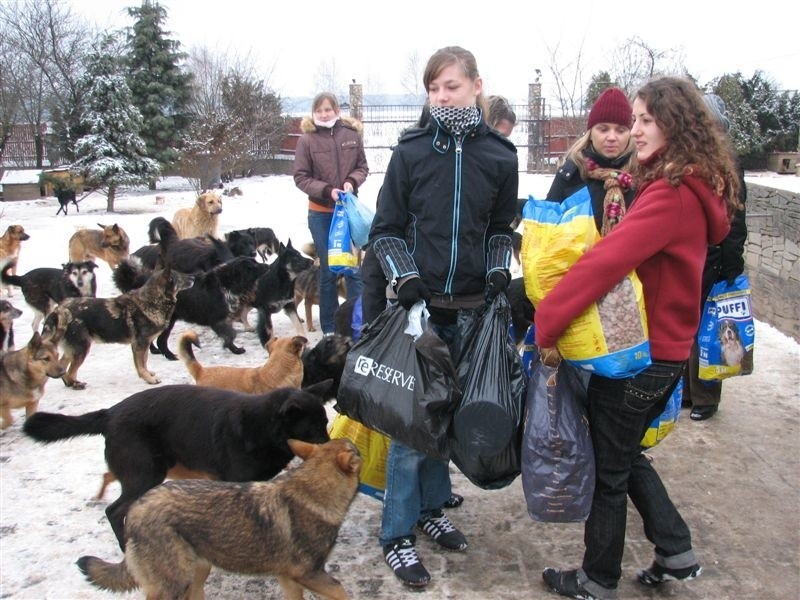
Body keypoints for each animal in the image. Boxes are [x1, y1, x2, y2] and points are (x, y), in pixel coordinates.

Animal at [22, 380, 332, 548]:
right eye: (313, 429)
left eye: (326, 423)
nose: (333, 447)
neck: (263, 427)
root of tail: (110, 413)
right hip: (146, 474)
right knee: (114, 510)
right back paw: (125, 546)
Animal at [41, 268, 194, 390]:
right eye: (179, 276)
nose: (194, 277)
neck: (152, 301)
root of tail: (57, 311)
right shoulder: (140, 344)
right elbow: (140, 365)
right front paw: (149, 379)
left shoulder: (142, 345)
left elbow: (144, 362)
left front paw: (148, 374)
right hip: (82, 348)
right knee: (71, 371)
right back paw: (76, 385)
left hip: (73, 349)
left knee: (63, 368)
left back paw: (69, 383)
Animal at [76, 436, 360, 600]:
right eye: (357, 451)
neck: (312, 492)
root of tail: (136, 510)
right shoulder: (309, 574)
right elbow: (341, 590)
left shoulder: (289, 579)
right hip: (174, 584)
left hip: (197, 571)